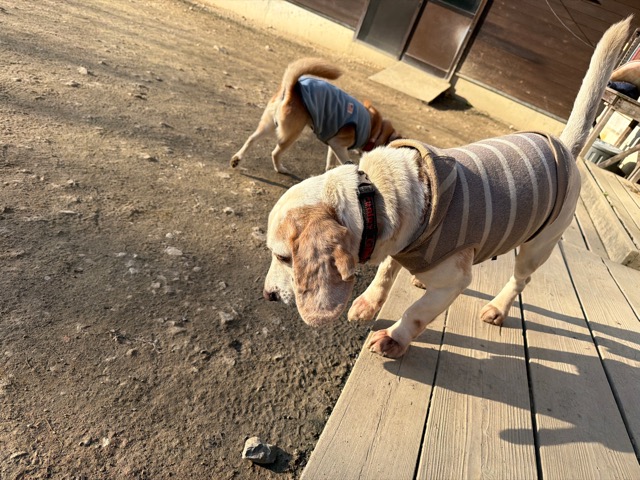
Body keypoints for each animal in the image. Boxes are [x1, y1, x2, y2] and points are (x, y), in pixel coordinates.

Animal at [230, 57, 401, 174]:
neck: (375, 128)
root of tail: (292, 88)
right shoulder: (338, 144)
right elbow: (345, 162)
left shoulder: (333, 144)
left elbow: (330, 162)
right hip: (291, 134)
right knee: (275, 152)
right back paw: (280, 169)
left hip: (268, 126)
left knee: (251, 139)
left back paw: (237, 159)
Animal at [262, 17, 631, 358]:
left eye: (283, 257)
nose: (267, 295)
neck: (375, 192)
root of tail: (564, 147)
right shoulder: (398, 246)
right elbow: (385, 273)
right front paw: (368, 302)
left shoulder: (453, 281)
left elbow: (416, 312)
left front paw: (394, 338)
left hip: (538, 247)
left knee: (520, 280)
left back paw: (498, 307)